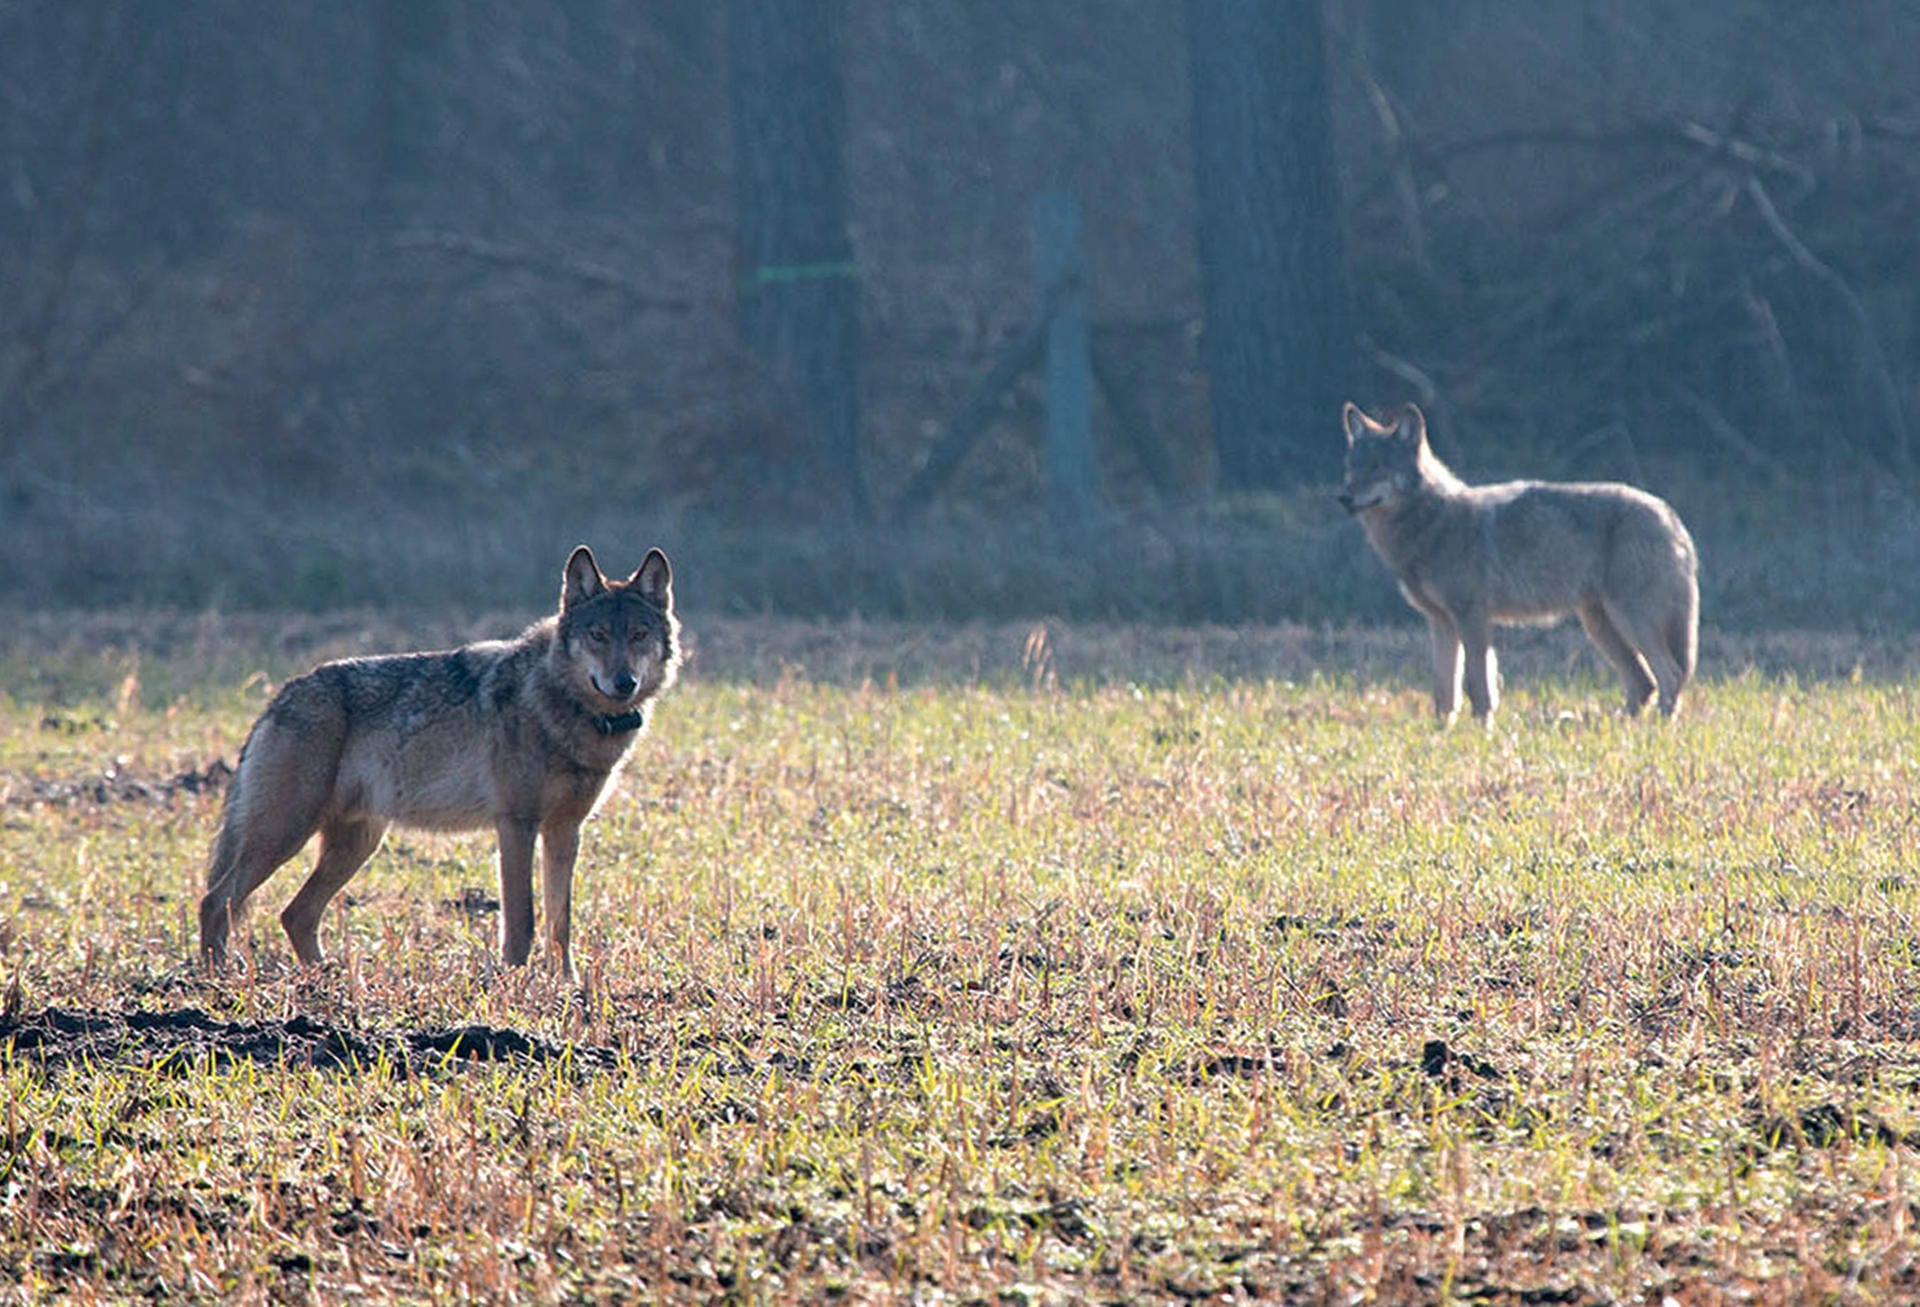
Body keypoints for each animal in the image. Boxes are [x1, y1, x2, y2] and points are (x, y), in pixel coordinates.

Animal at [1336, 403, 1697, 717]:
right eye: (1351, 468)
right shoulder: (1441, 623)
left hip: (1631, 619)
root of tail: (1671, 516)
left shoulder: (1472, 618)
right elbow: (1444, 694)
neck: (1432, 521)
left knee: (1669, 675)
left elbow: (1479, 688)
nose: (1343, 497)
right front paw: (1441, 737)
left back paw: (1658, 730)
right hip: (1600, 624)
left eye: (1377, 468)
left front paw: (1481, 734)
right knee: (1644, 682)